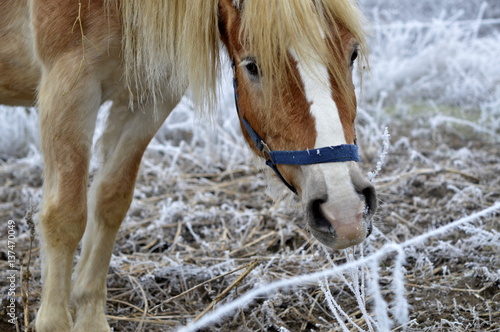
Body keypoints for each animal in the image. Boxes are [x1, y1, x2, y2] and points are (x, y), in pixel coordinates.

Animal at [0, 0, 376, 330]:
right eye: (253, 66)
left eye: (353, 53)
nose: (344, 211)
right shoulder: (69, 85)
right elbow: (65, 215)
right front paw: (54, 322)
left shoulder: (152, 95)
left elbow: (110, 202)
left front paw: (90, 319)